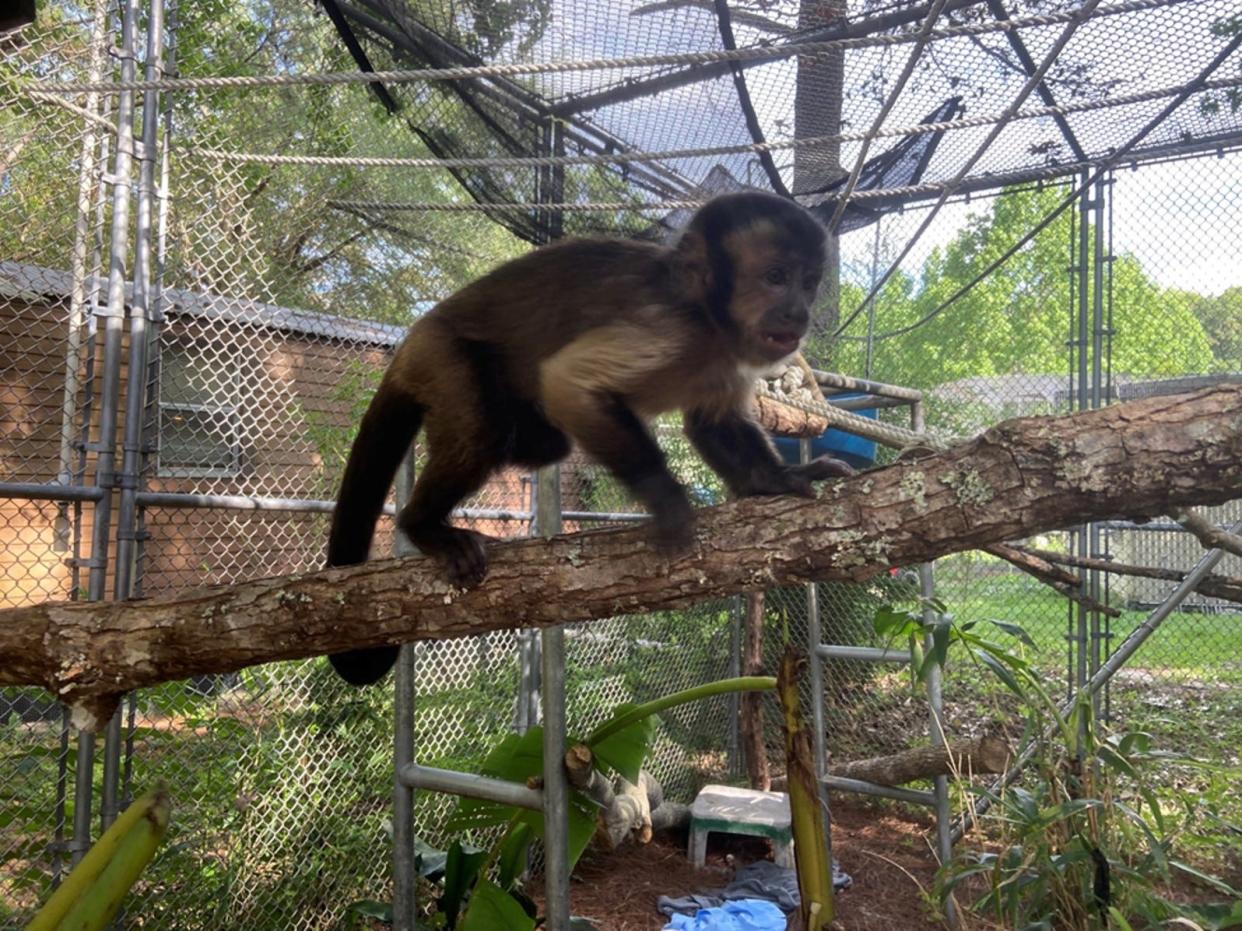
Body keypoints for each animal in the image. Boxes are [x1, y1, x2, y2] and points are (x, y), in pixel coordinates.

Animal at [327, 193, 854, 685]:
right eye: (776, 277)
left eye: (809, 283)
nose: (799, 312)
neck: (707, 321)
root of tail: (409, 343)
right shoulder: (668, 325)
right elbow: (571, 385)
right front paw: (667, 498)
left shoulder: (728, 357)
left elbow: (713, 424)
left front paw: (777, 480)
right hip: (440, 354)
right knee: (481, 431)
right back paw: (423, 525)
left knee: (543, 442)